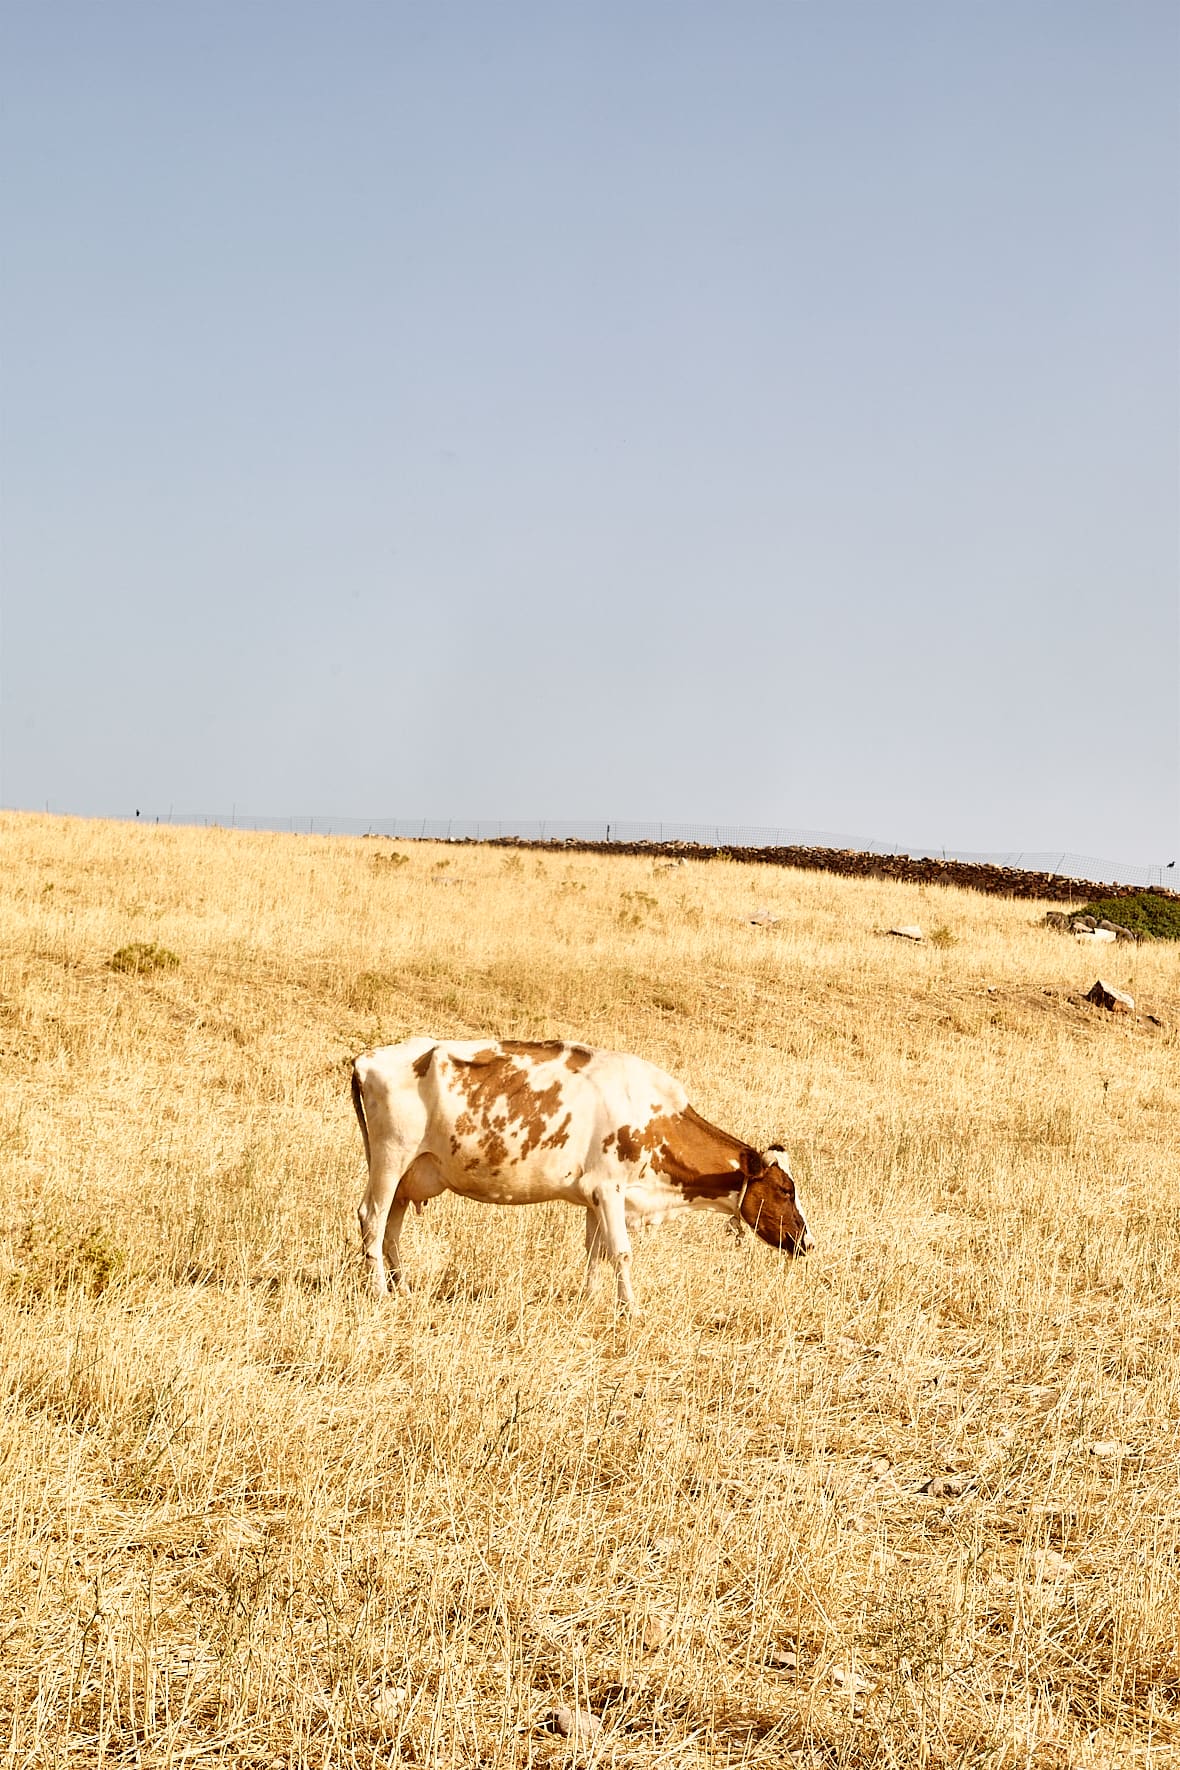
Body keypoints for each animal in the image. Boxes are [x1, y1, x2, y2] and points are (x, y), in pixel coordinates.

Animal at [350, 1033, 813, 1316]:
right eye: (785, 1190)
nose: (807, 1241)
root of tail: (368, 1059)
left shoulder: (594, 1197)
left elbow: (596, 1253)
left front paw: (588, 1301)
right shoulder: (610, 1189)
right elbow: (622, 1252)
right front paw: (631, 1309)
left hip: (409, 1175)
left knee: (392, 1228)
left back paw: (402, 1288)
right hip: (391, 1158)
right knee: (372, 1218)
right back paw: (378, 1291)